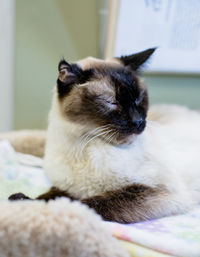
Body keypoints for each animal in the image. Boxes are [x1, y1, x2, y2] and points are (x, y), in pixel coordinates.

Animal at [9, 48, 200, 222]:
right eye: (112, 102)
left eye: (138, 99)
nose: (138, 121)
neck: (84, 144)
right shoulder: (68, 187)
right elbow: (53, 195)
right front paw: (21, 200)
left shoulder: (153, 190)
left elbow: (86, 204)